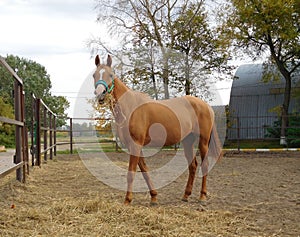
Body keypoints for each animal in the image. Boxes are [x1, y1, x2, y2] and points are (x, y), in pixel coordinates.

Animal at [93, 54, 223, 205]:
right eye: (94, 75)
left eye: (110, 75)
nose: (100, 94)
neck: (130, 106)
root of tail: (206, 106)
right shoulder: (135, 146)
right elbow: (144, 170)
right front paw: (154, 197)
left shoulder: (136, 144)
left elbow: (131, 173)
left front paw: (127, 200)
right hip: (187, 141)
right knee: (193, 166)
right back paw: (186, 195)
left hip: (203, 140)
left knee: (205, 165)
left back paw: (202, 196)